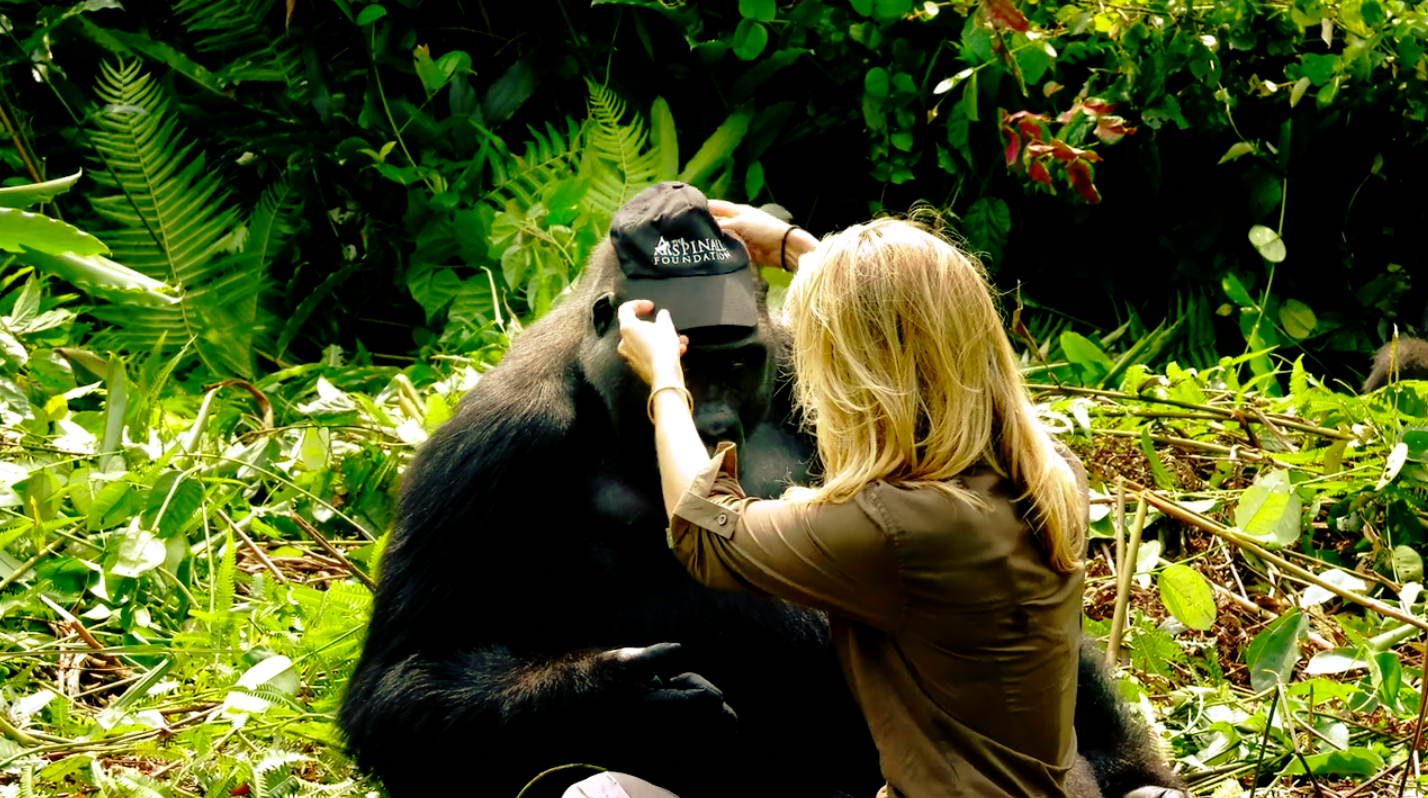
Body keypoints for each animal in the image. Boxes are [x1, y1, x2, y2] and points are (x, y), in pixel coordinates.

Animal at [339, 184, 1188, 798]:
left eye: (736, 363)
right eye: (690, 362)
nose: (712, 421)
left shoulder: (796, 360)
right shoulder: (495, 444)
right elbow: (402, 683)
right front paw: (615, 698)